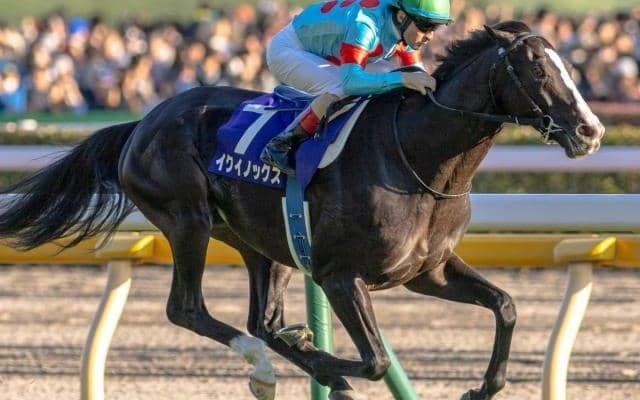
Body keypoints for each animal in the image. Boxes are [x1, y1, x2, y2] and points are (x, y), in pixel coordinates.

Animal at [0, 21, 604, 400]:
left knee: (261, 321)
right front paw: (326, 361)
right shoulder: (340, 276)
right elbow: (376, 359)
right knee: (188, 310)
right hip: (188, 220)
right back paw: (273, 366)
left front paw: (481, 387)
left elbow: (505, 305)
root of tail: (142, 121)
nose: (590, 131)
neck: (420, 159)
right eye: (538, 71)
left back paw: (279, 356)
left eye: (567, 67)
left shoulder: (424, 272)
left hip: (263, 244)